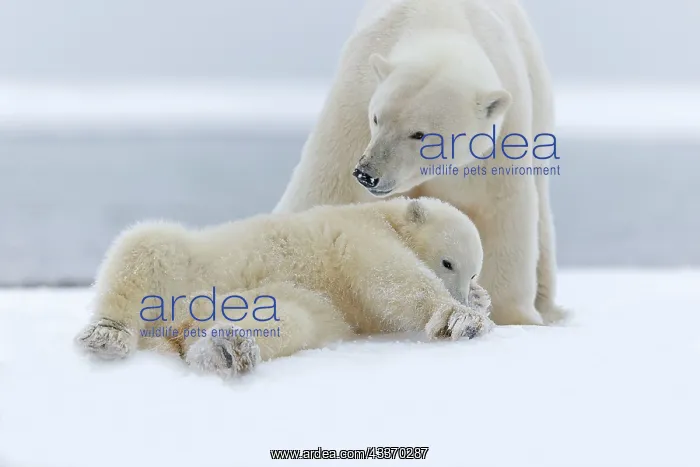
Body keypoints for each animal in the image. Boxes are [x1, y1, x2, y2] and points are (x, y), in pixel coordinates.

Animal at [76, 197, 494, 378]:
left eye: (474, 272)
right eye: (448, 263)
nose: (466, 290)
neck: (386, 215)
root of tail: (170, 324)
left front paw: (479, 302)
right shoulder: (357, 232)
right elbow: (392, 277)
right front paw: (462, 318)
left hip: (297, 302)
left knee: (287, 320)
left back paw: (224, 348)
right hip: (187, 262)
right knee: (145, 246)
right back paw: (107, 335)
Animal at [274, 0, 566, 326]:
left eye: (419, 134)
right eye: (377, 118)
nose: (367, 174)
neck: (439, 19)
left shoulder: (498, 141)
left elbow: (502, 214)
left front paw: (512, 317)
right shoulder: (355, 103)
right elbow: (327, 188)